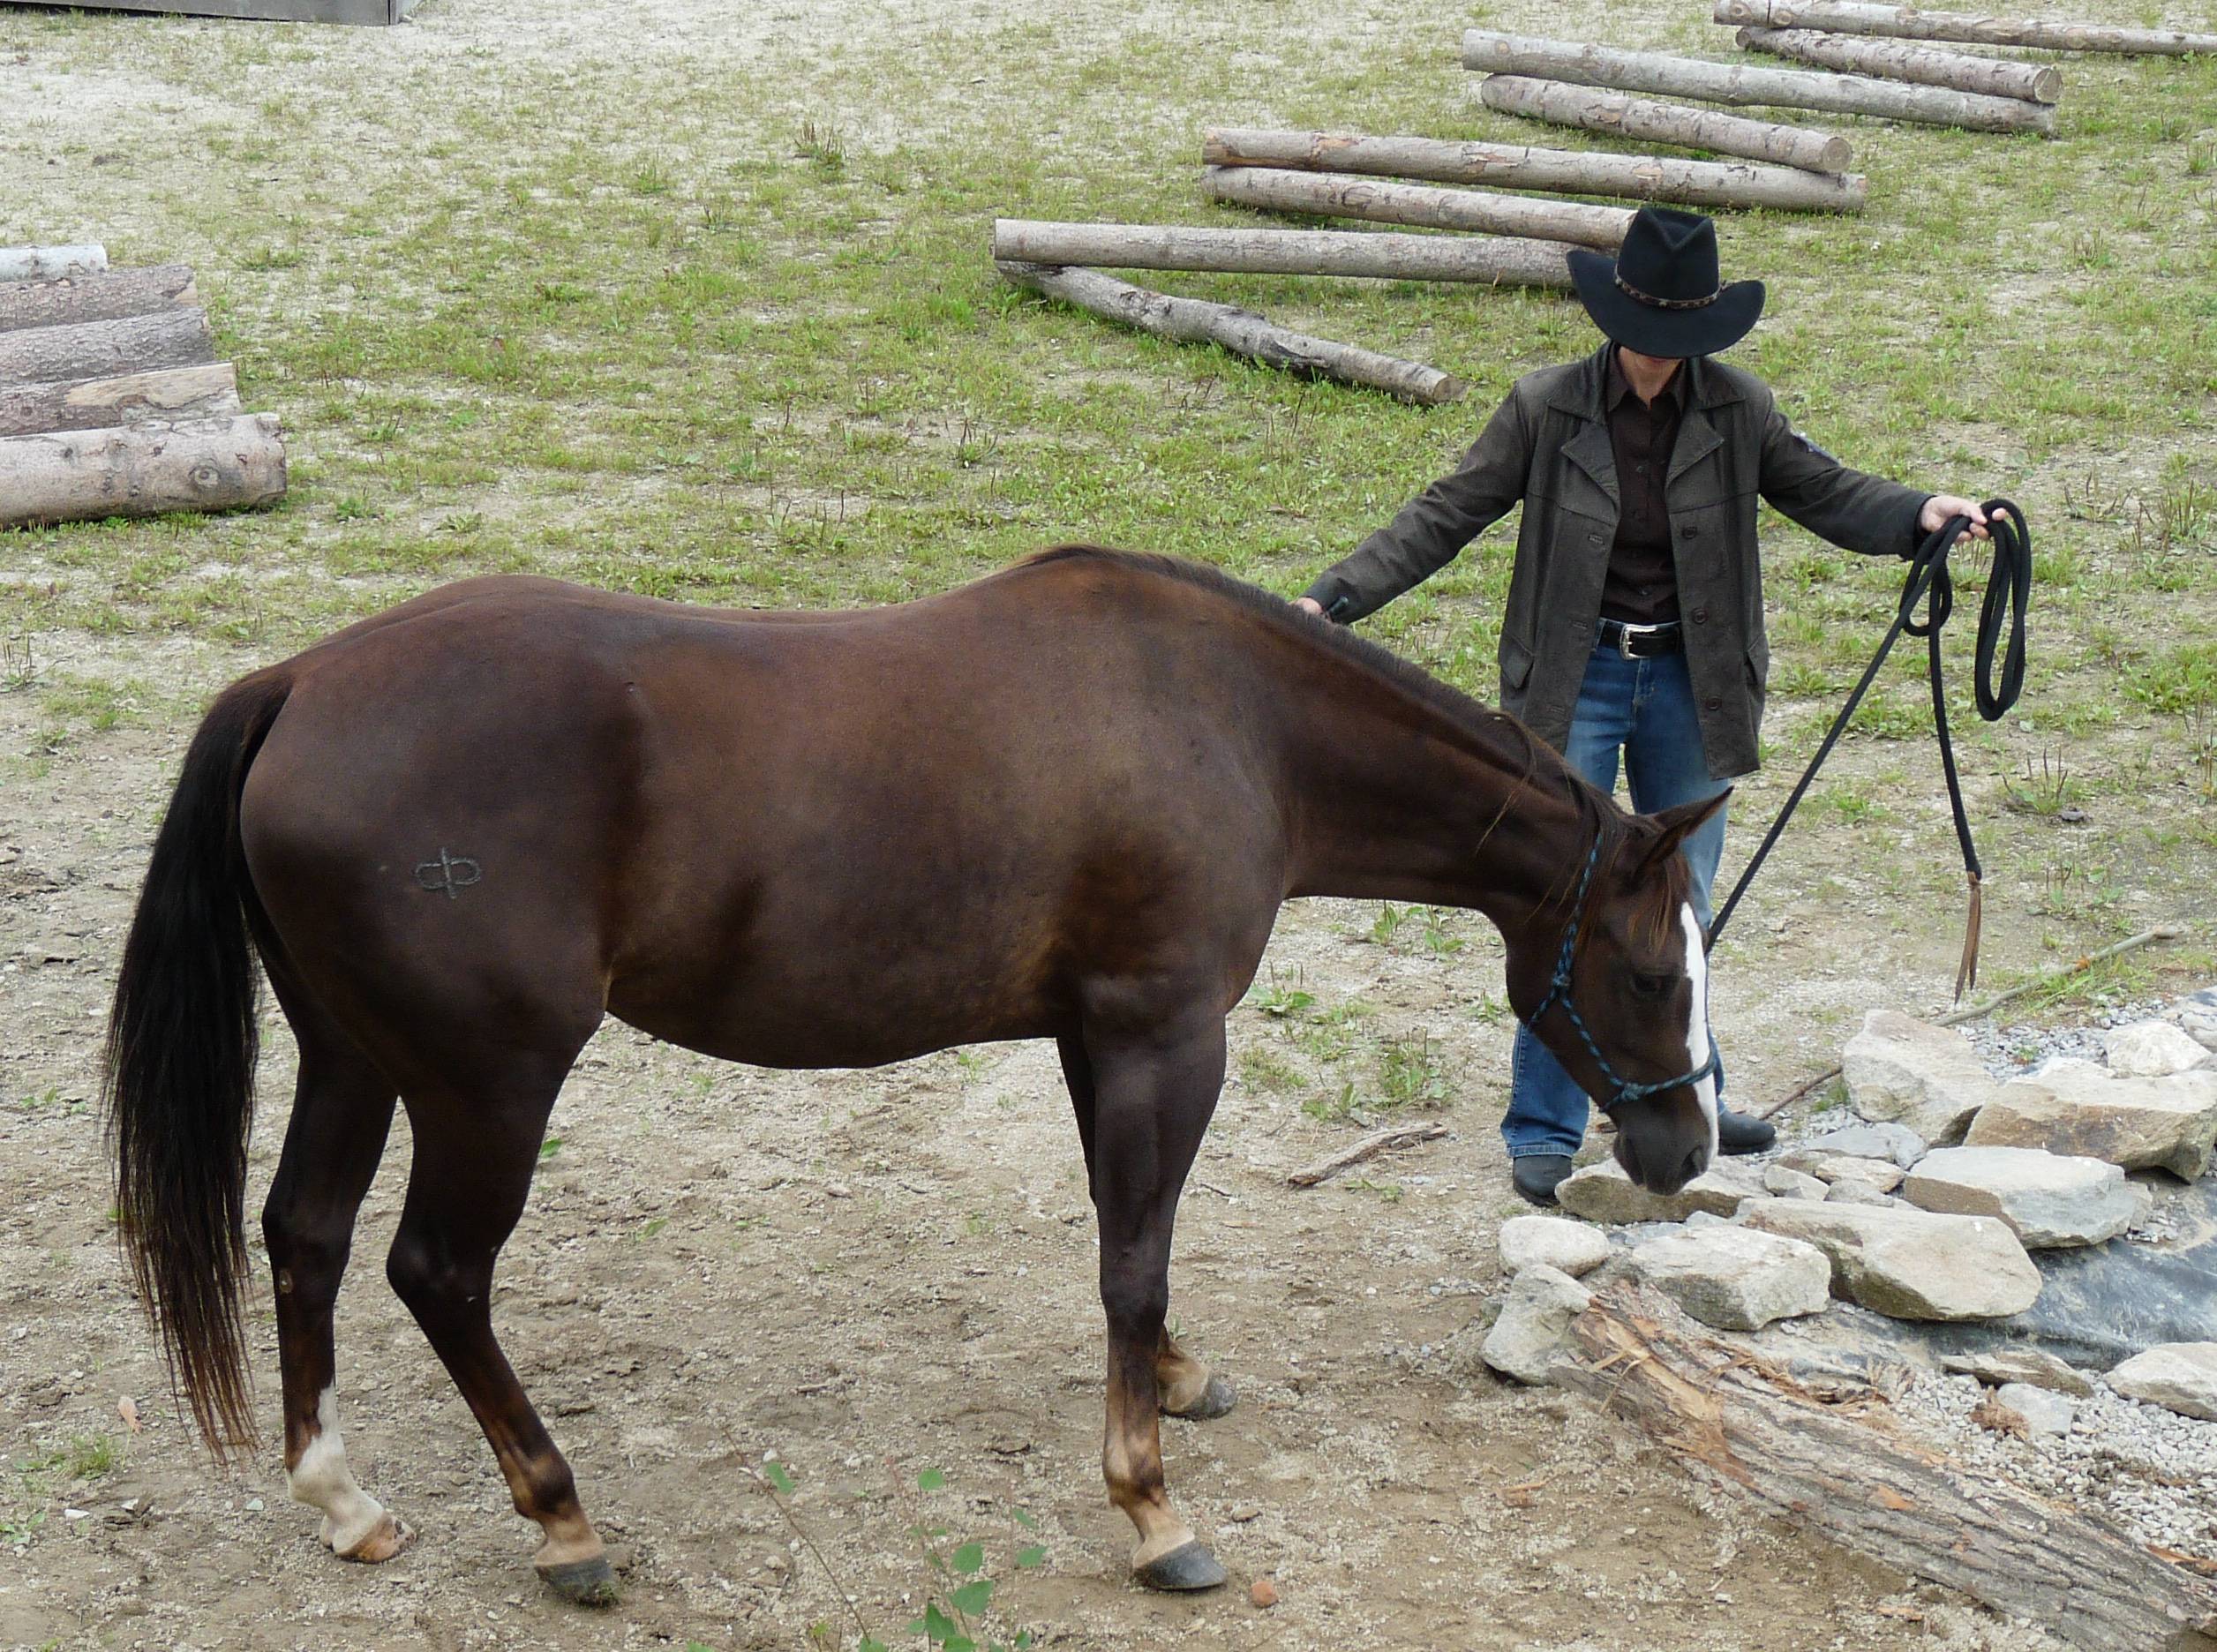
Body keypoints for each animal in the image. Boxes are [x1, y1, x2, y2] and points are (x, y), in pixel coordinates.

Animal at [105, 546, 1723, 1604]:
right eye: (1654, 972)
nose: (1688, 1146)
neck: (1229, 719)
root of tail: (297, 682)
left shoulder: (1092, 1035)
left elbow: (1129, 1240)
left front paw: (1176, 1381)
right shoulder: (1164, 1034)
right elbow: (1133, 1260)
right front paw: (1149, 1508)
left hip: (355, 1061)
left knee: (304, 1241)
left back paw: (345, 1499)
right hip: (489, 1089)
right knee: (434, 1273)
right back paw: (563, 1521)